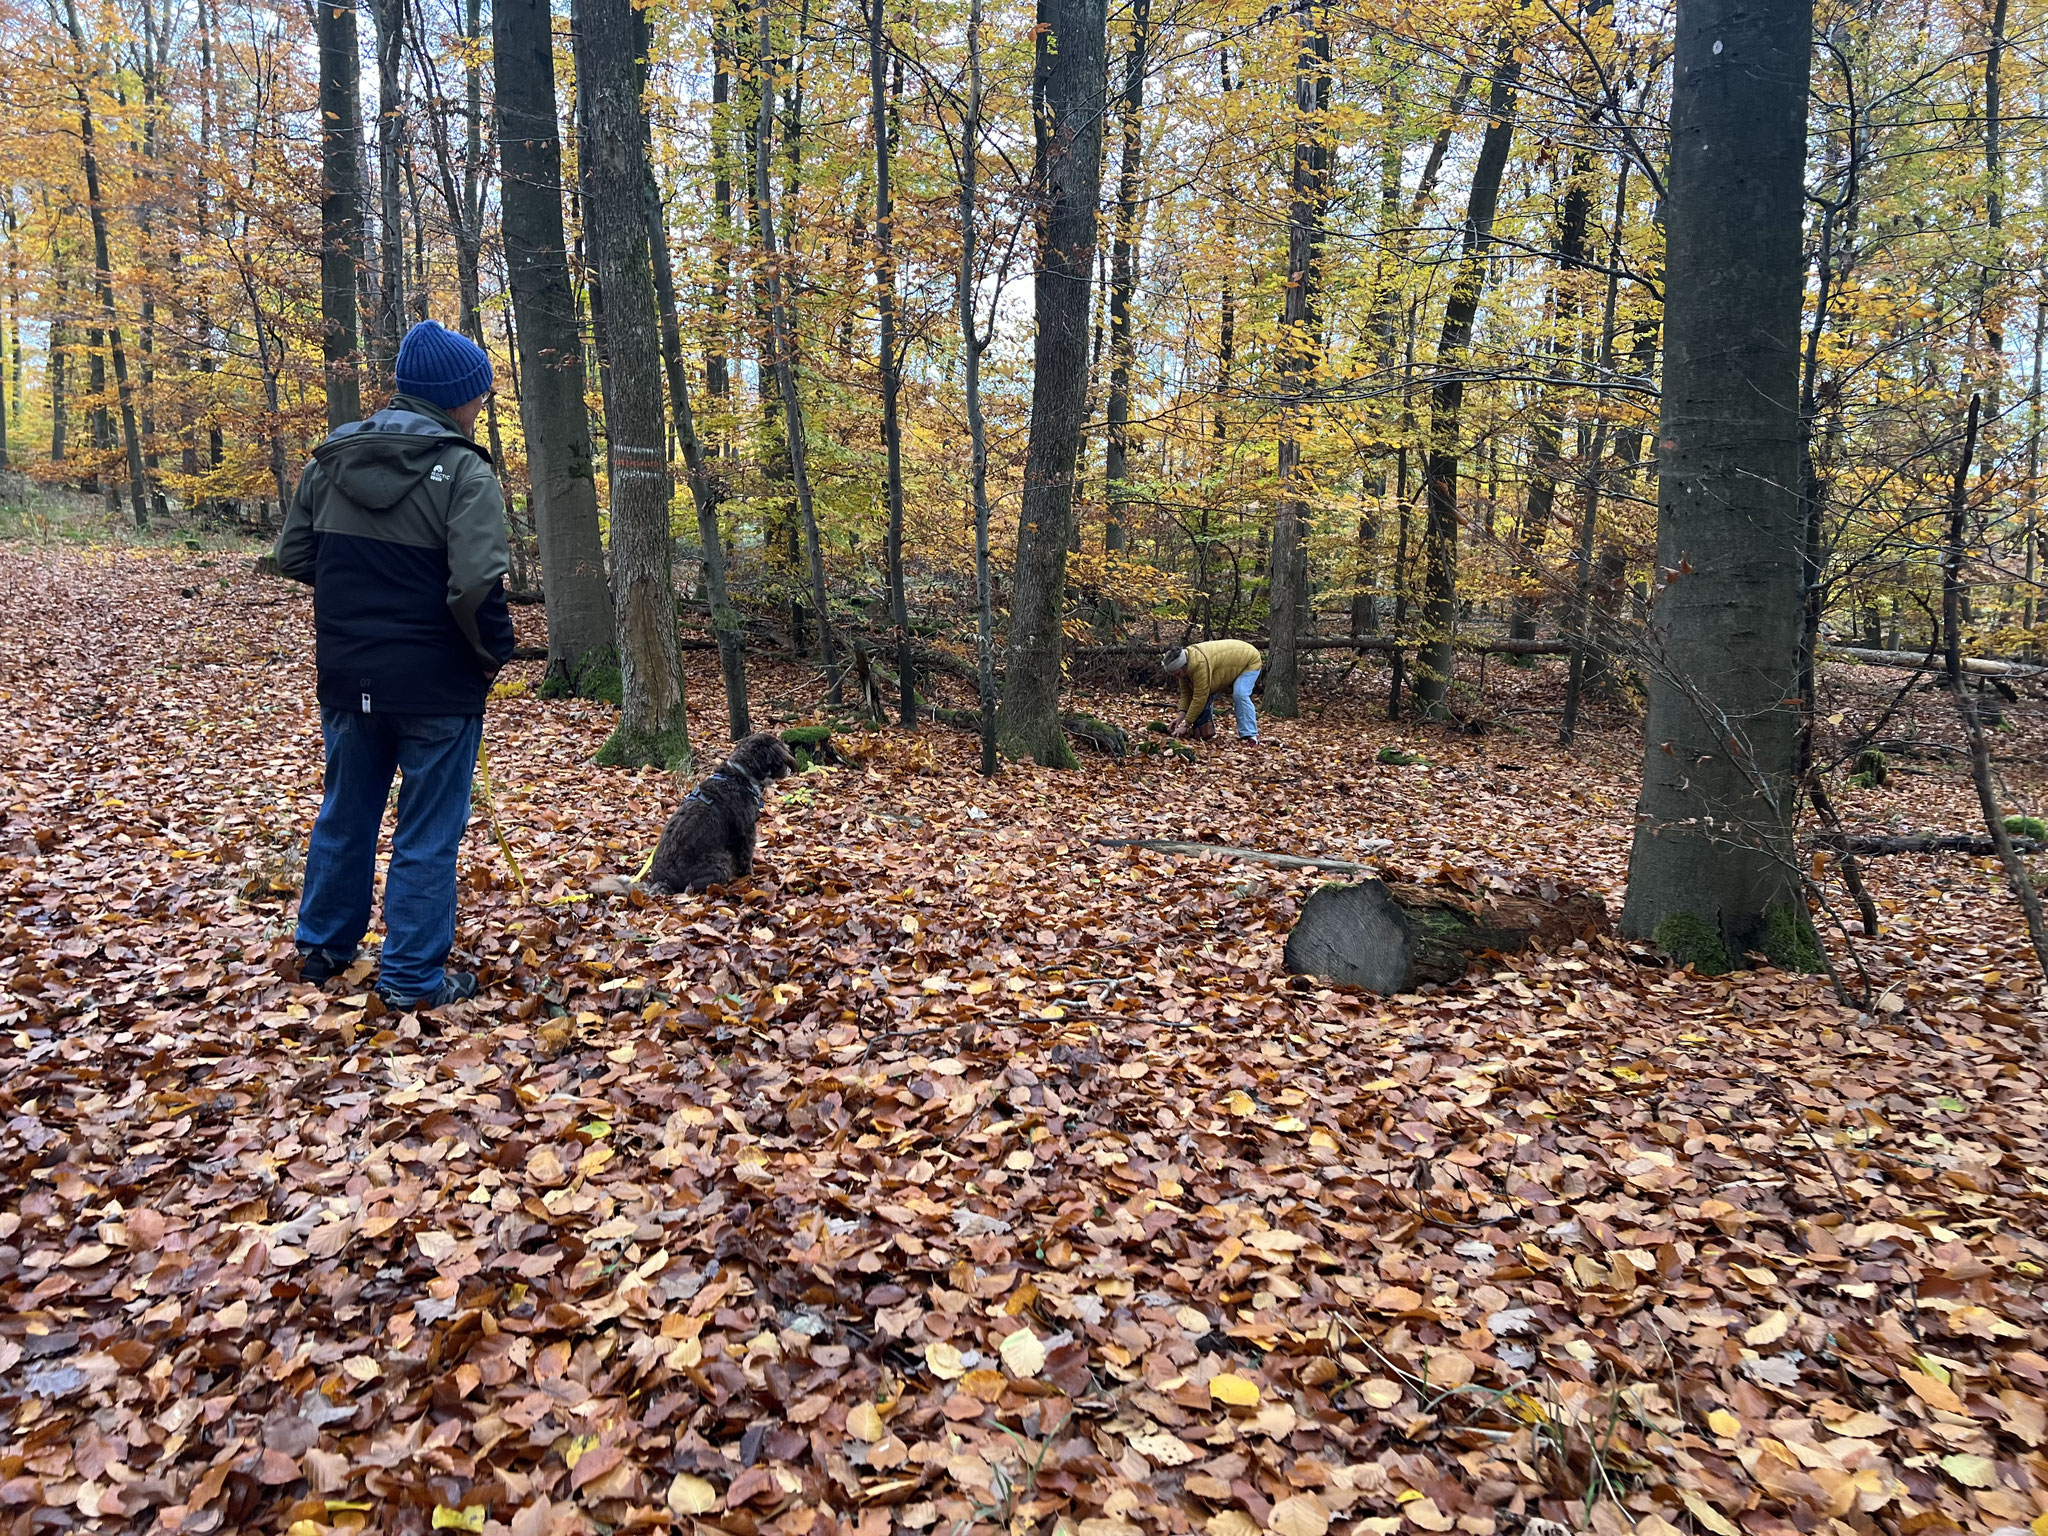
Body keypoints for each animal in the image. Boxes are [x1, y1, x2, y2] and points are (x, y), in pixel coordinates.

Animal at [645, 732, 799, 893]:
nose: (790, 769)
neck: (741, 776)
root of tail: (663, 881)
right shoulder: (745, 831)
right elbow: (746, 856)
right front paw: (749, 875)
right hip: (720, 862)